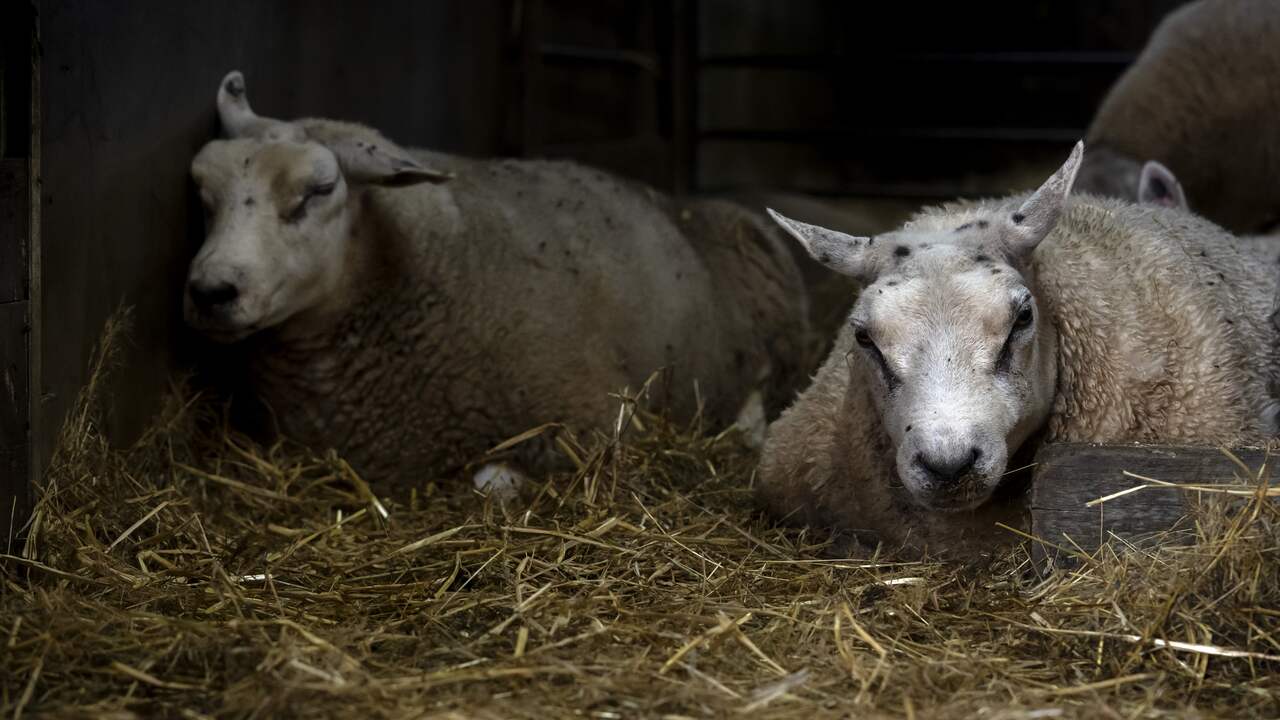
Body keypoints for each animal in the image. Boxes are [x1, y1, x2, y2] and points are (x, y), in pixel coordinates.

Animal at [186, 70, 808, 489]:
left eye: (317, 191)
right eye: (203, 190)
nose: (211, 291)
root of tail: (695, 204)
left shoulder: (594, 423)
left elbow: (493, 481)